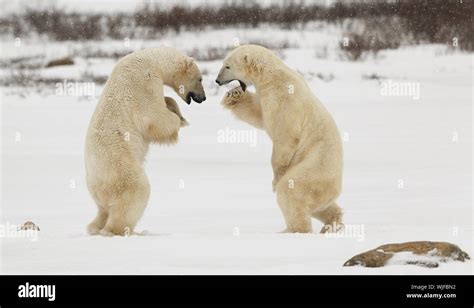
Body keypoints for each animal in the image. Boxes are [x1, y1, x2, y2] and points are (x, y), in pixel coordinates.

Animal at [86, 47, 205, 236]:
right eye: (200, 79)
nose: (203, 98)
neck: (152, 60)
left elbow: (165, 102)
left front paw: (176, 109)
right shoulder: (143, 82)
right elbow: (153, 115)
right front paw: (180, 120)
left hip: (100, 188)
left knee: (102, 210)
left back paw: (95, 227)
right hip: (119, 165)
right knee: (137, 191)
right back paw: (125, 230)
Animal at [217, 44, 342, 232]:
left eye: (227, 66)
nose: (217, 81)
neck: (272, 76)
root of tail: (337, 187)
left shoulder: (285, 99)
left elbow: (285, 136)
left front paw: (275, 180)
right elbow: (258, 114)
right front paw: (234, 95)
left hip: (313, 170)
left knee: (292, 192)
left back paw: (290, 230)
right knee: (321, 206)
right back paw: (332, 223)